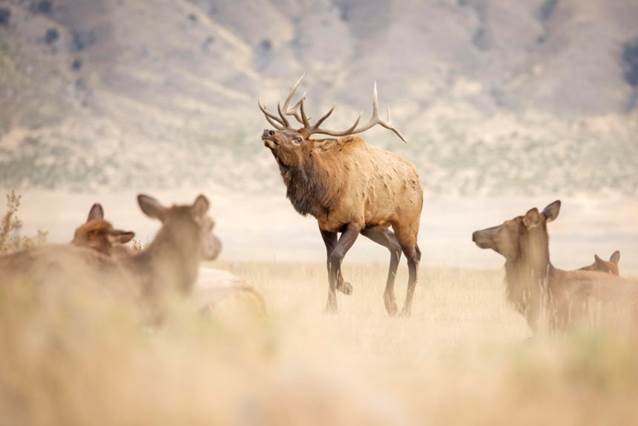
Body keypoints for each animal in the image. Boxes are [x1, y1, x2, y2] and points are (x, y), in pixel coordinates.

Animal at [260, 75, 424, 316]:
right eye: (282, 130)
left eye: (298, 138)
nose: (268, 132)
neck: (326, 193)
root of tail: (418, 178)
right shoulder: (326, 225)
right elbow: (329, 261)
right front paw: (331, 306)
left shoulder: (354, 221)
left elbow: (337, 256)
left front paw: (346, 286)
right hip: (374, 225)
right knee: (395, 248)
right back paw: (390, 302)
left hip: (407, 221)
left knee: (414, 256)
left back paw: (405, 309)